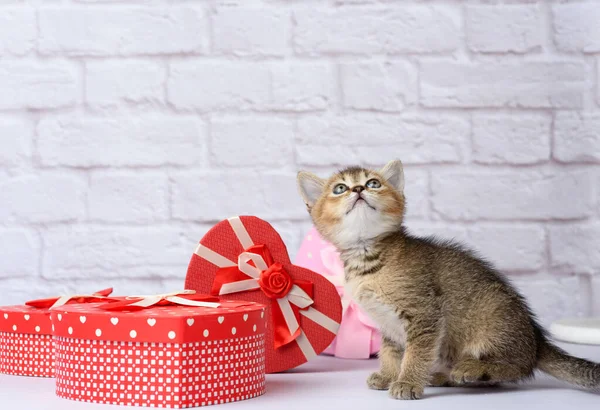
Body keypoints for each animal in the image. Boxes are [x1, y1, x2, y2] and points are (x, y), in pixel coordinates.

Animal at [296, 160, 600, 400]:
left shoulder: (425, 313)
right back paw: (444, 375)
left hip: (493, 319)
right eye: (339, 188)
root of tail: (537, 338)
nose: (359, 189)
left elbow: (416, 353)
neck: (368, 258)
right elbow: (391, 351)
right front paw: (389, 375)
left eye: (373, 183)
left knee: (517, 367)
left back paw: (472, 369)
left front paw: (407, 382)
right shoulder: (387, 323)